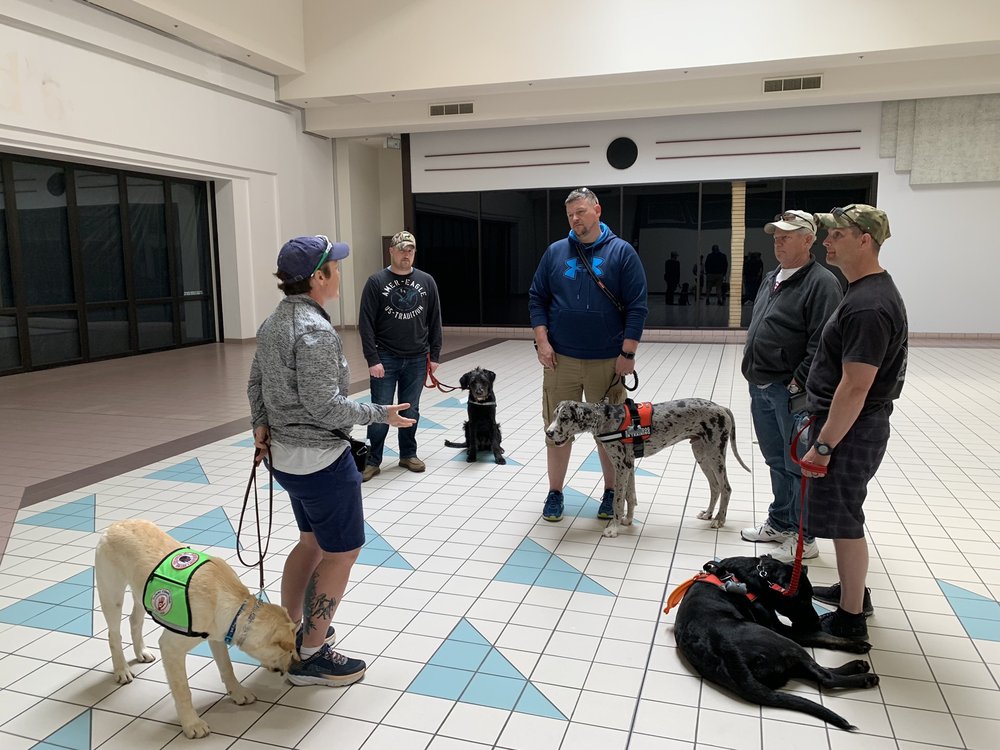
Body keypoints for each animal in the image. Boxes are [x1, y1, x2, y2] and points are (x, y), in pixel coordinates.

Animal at [95, 520, 297, 739]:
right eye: (289, 651)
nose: (294, 666)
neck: (234, 606)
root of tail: (116, 525)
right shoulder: (171, 647)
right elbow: (183, 689)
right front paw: (192, 723)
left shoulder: (217, 637)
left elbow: (227, 667)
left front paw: (238, 693)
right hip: (112, 595)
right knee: (113, 634)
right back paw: (122, 670)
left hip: (142, 594)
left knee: (134, 621)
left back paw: (141, 652)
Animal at [545, 398, 749, 537]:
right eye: (554, 416)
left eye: (565, 418)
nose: (548, 432)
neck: (605, 418)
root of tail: (721, 407)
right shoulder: (629, 464)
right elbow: (629, 496)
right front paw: (628, 520)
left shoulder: (621, 466)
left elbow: (618, 500)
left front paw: (613, 529)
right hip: (701, 454)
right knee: (715, 486)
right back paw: (708, 514)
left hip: (716, 454)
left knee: (726, 488)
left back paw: (719, 520)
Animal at [672, 555, 879, 731]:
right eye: (802, 600)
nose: (817, 622)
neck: (758, 576)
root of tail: (731, 660)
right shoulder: (779, 628)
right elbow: (818, 636)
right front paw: (854, 644)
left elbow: (819, 636)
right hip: (782, 641)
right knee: (825, 676)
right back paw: (864, 677)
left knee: (813, 670)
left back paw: (857, 666)